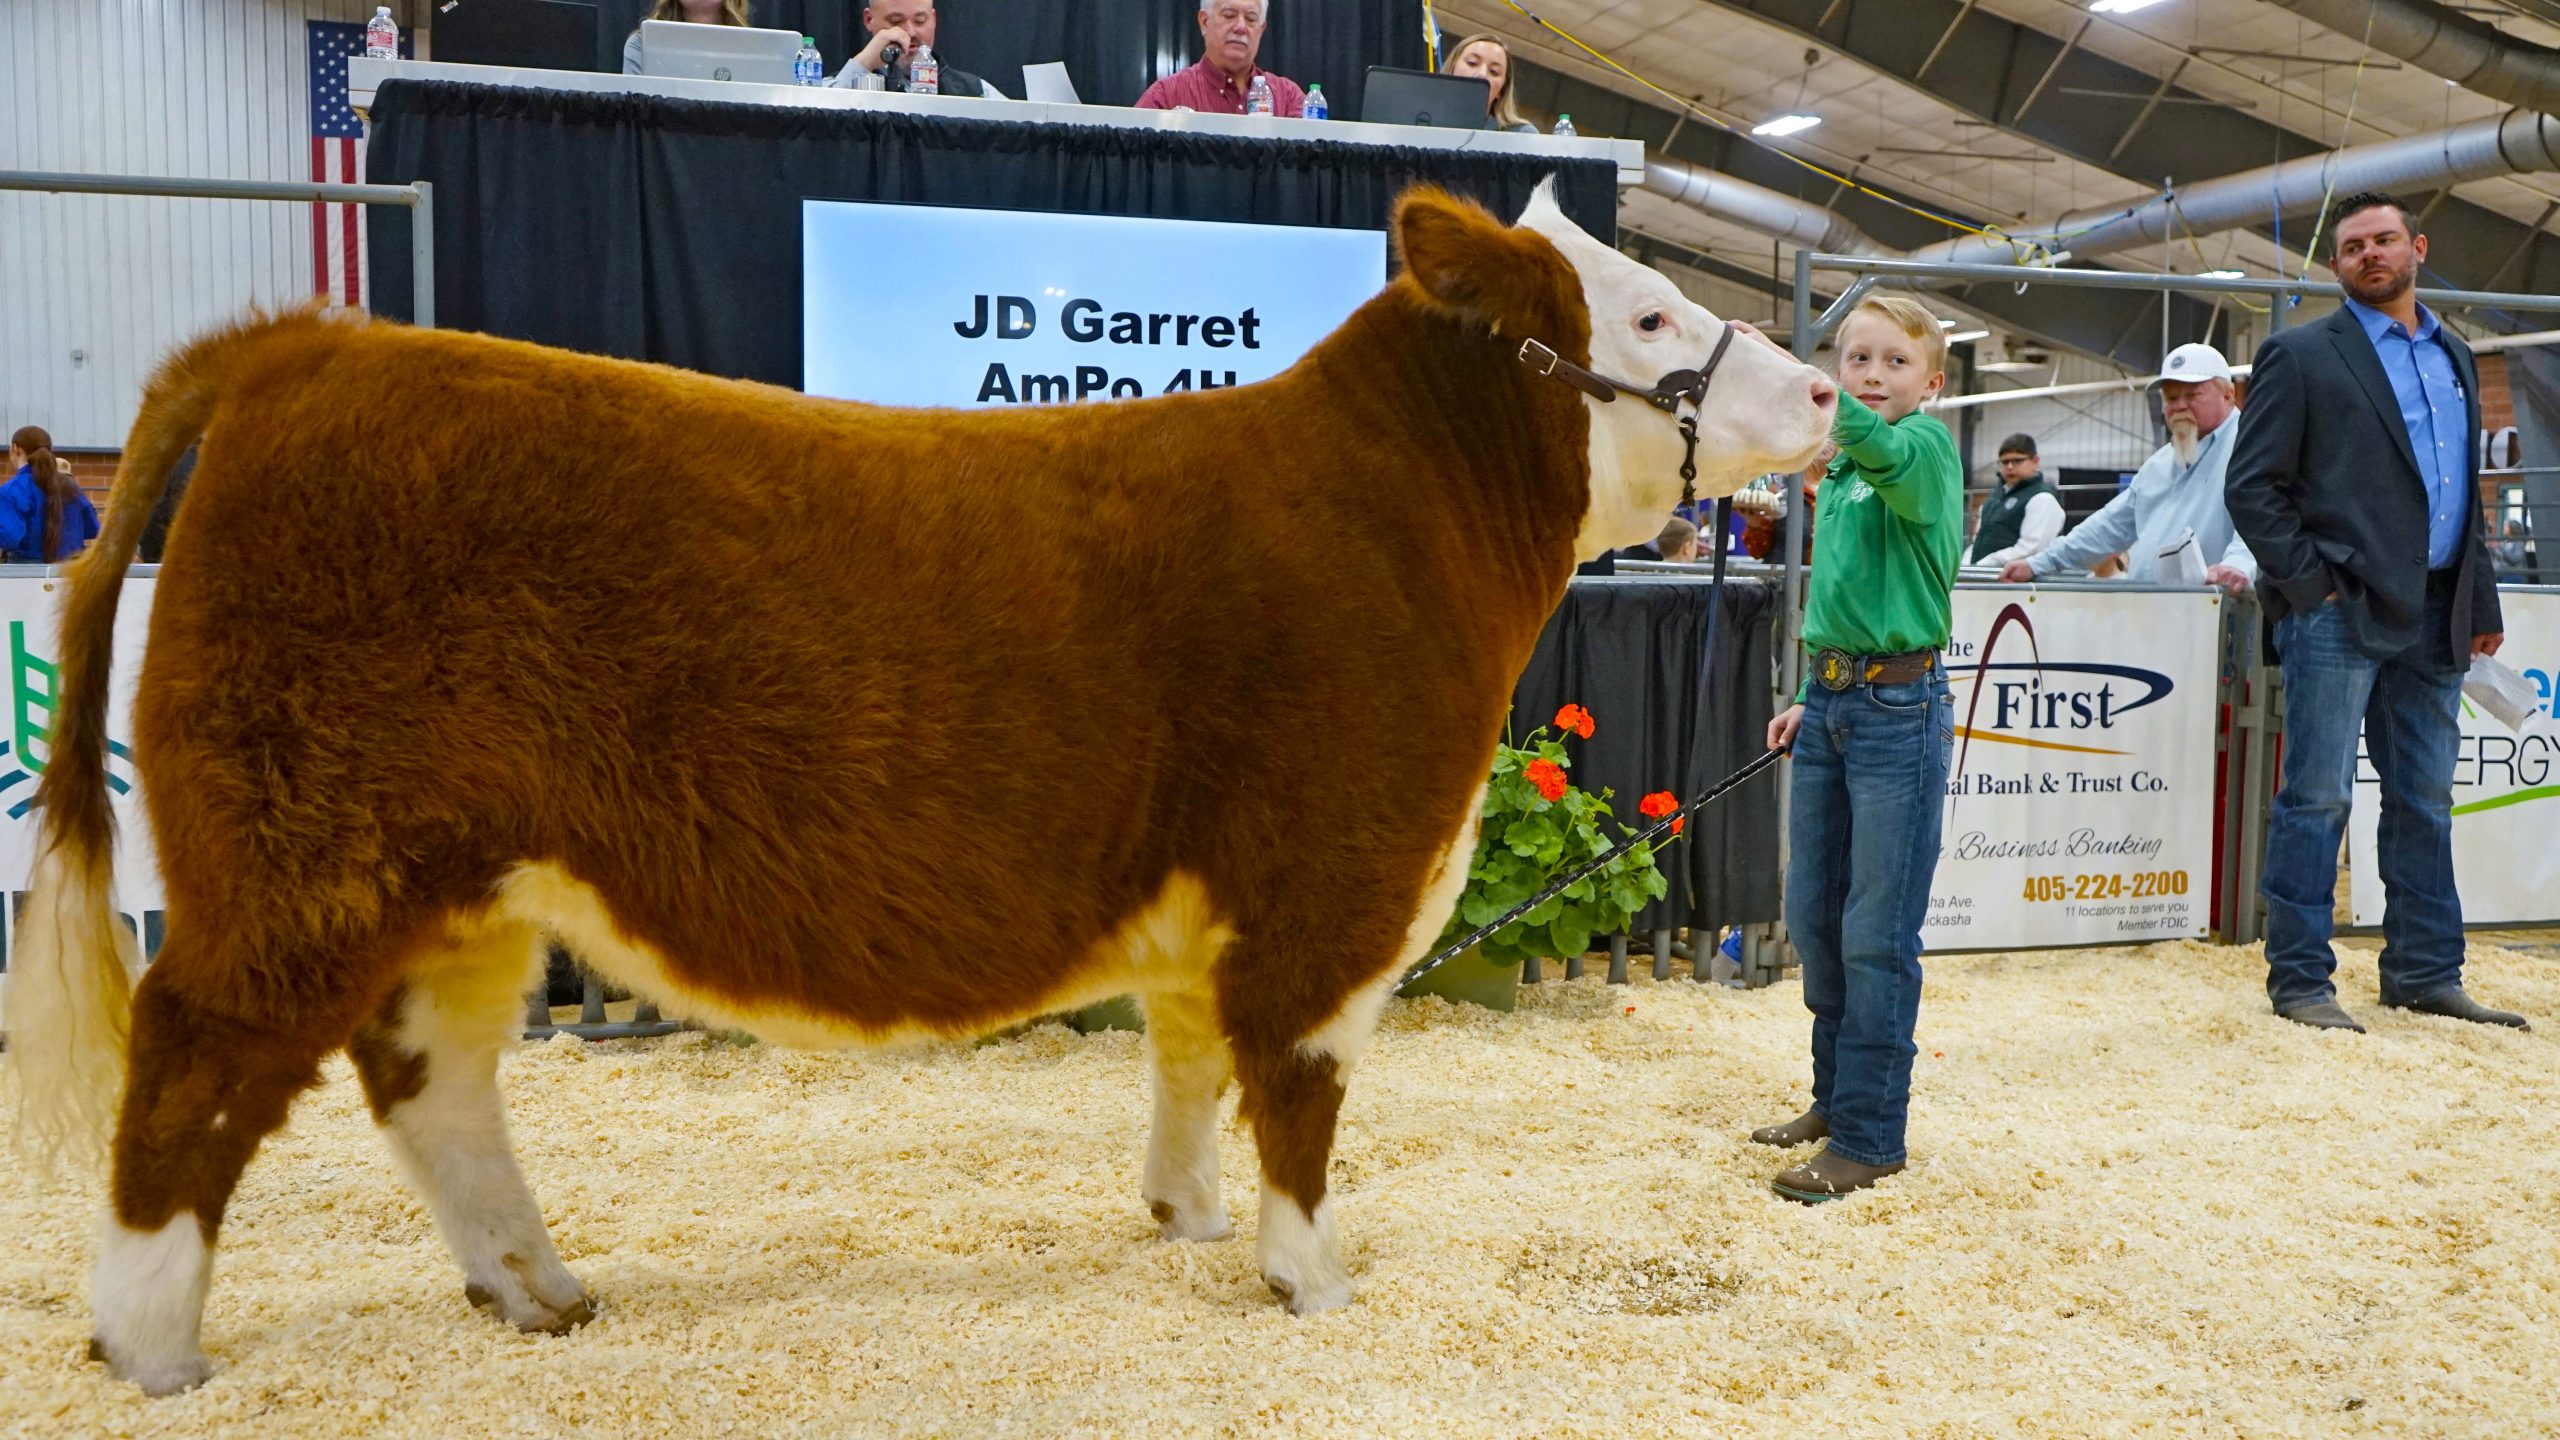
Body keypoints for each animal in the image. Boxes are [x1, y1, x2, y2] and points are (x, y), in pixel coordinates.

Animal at [6, 181, 1836, 1393]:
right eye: (1648, 315)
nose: (1827, 387)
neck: (1398, 519)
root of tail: (297, 351)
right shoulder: (1336, 868)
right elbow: (1300, 1087)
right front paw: (1312, 1281)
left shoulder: (1214, 903)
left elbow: (1191, 1065)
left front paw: (1181, 1221)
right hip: (300, 850)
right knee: (196, 1056)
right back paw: (153, 1347)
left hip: (454, 882)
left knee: (429, 1077)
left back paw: (538, 1291)